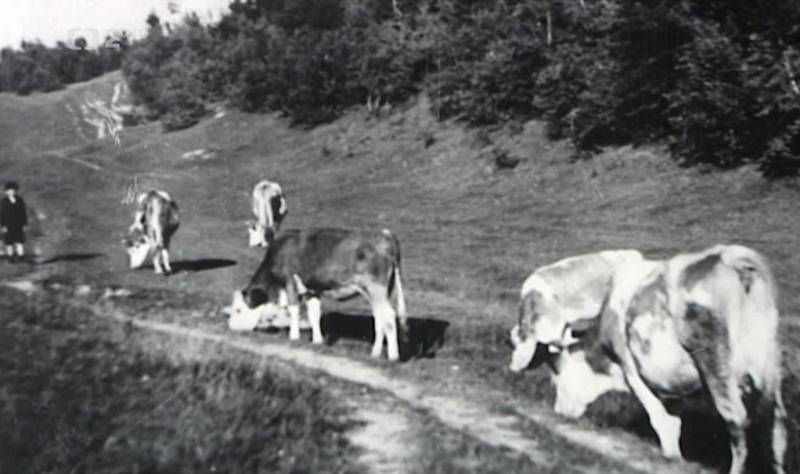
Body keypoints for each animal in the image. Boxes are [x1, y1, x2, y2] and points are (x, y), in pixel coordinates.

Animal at [230, 228, 406, 362]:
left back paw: (393, 355)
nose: (230, 326)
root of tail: (385, 234)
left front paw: (294, 337)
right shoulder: (312, 290)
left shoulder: (290, 281)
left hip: (376, 288)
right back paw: (375, 352)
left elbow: (294, 310)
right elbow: (314, 314)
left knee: (389, 316)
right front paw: (317, 341)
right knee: (380, 319)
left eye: (238, 310)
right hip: (379, 292)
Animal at [524, 244, 788, 474]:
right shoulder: (673, 384)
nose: (558, 412)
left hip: (715, 363)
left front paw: (670, 458)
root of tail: (735, 259)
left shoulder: (630, 367)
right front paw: (675, 456)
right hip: (771, 363)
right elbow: (673, 422)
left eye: (556, 381)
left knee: (735, 418)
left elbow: (659, 419)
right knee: (777, 426)